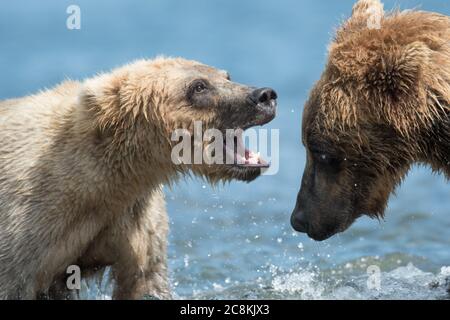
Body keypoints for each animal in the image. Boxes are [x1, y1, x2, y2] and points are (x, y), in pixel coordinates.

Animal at [0, 56, 278, 298]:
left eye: (226, 76)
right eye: (199, 86)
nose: (265, 95)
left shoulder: (134, 215)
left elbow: (145, 279)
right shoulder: (27, 224)